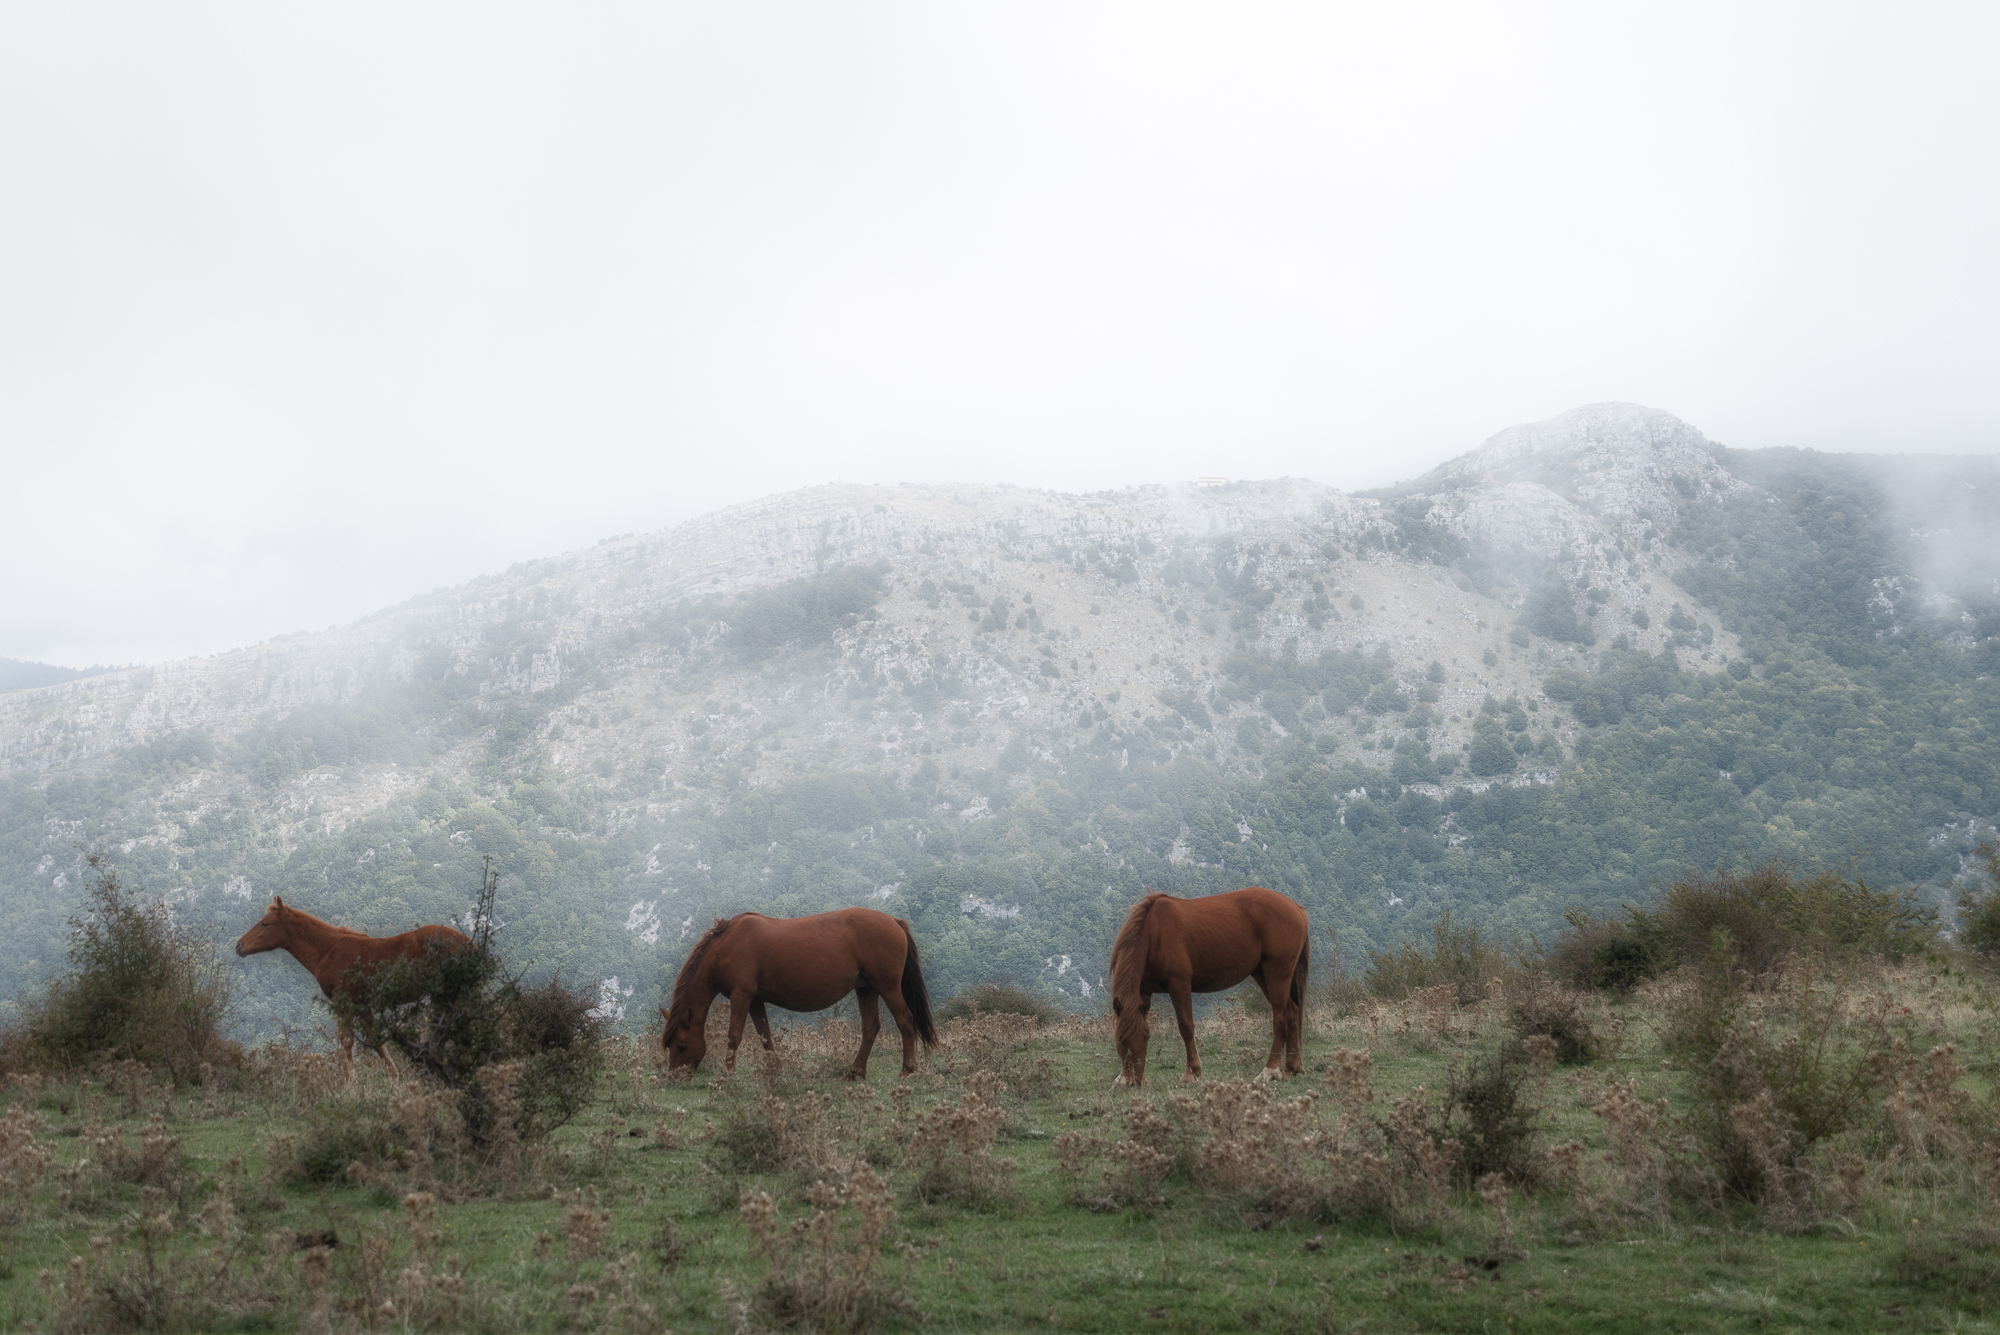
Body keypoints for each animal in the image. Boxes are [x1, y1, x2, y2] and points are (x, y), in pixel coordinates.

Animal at [234, 896, 470, 1063]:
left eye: (265, 924)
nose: (239, 946)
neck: (329, 949)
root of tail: (470, 944)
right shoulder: (363, 1005)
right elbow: (377, 1042)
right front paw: (394, 1080)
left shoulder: (343, 1002)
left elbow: (347, 1042)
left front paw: (348, 1086)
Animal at [659, 907, 938, 1078]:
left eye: (682, 1045)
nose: (674, 1079)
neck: (727, 945)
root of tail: (894, 922)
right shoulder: (755, 1001)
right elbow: (765, 1036)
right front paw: (775, 1070)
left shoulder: (742, 996)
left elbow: (734, 1036)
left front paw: (726, 1073)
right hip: (866, 989)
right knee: (871, 1027)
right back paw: (854, 1073)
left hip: (887, 987)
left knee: (905, 1021)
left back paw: (907, 1070)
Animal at [1109, 886, 1310, 1087]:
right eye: (1120, 1040)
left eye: (1146, 1036)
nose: (1134, 1081)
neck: (1154, 932)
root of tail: (1296, 907)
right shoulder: (1144, 990)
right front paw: (1120, 1078)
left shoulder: (1179, 985)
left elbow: (1186, 1027)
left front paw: (1192, 1072)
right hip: (1262, 974)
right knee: (1292, 1013)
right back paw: (1291, 1068)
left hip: (1277, 972)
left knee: (1281, 1019)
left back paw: (1269, 1071)